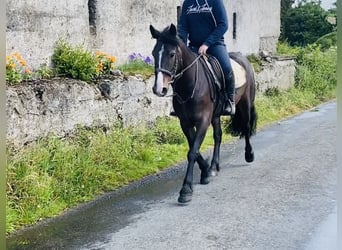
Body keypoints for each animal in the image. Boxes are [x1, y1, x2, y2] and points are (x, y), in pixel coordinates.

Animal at [150, 23, 256, 203]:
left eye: (172, 54)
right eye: (153, 53)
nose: (159, 89)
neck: (191, 85)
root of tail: (244, 59)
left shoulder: (203, 120)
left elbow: (192, 152)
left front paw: (186, 189)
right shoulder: (185, 123)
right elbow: (195, 148)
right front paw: (206, 171)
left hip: (245, 104)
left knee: (246, 127)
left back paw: (249, 155)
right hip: (216, 116)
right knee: (218, 136)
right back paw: (214, 165)